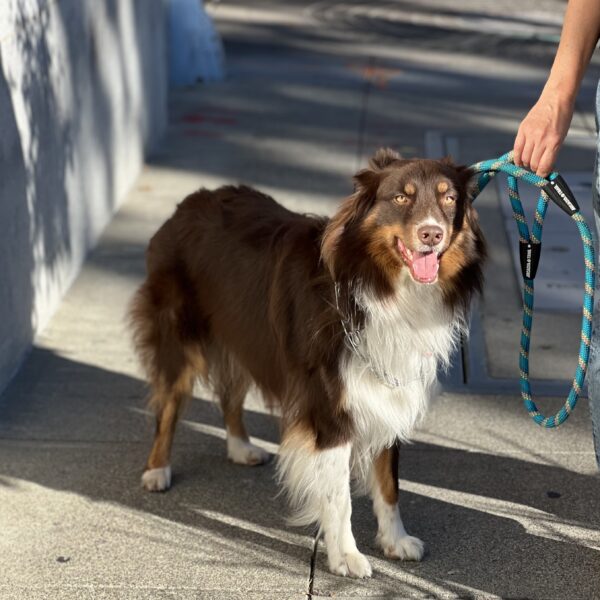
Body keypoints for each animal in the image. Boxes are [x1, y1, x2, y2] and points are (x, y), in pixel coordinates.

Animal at [129, 148, 486, 580]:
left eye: (449, 198)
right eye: (401, 197)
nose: (432, 234)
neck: (379, 287)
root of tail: (190, 201)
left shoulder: (389, 392)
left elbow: (389, 483)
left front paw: (395, 541)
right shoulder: (330, 409)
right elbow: (339, 496)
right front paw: (346, 556)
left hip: (244, 336)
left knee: (231, 394)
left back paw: (241, 447)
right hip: (180, 338)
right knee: (168, 405)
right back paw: (157, 470)